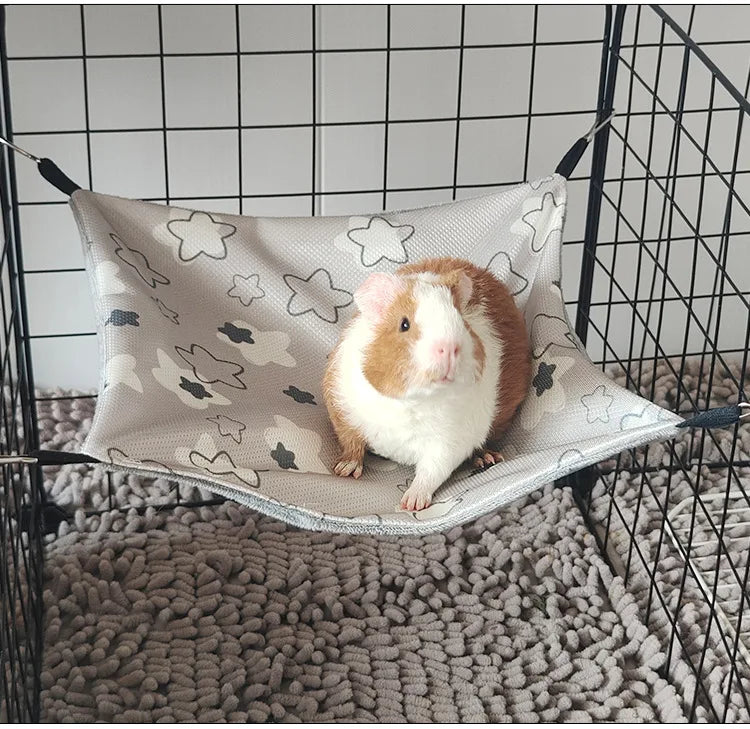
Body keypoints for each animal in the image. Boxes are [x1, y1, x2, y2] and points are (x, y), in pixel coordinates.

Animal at [323, 256, 531, 511]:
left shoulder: (448, 445)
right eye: (404, 324)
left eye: (461, 321)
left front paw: (410, 504)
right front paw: (344, 471)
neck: (412, 401)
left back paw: (488, 459)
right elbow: (351, 443)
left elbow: (430, 474)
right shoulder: (343, 409)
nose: (450, 348)